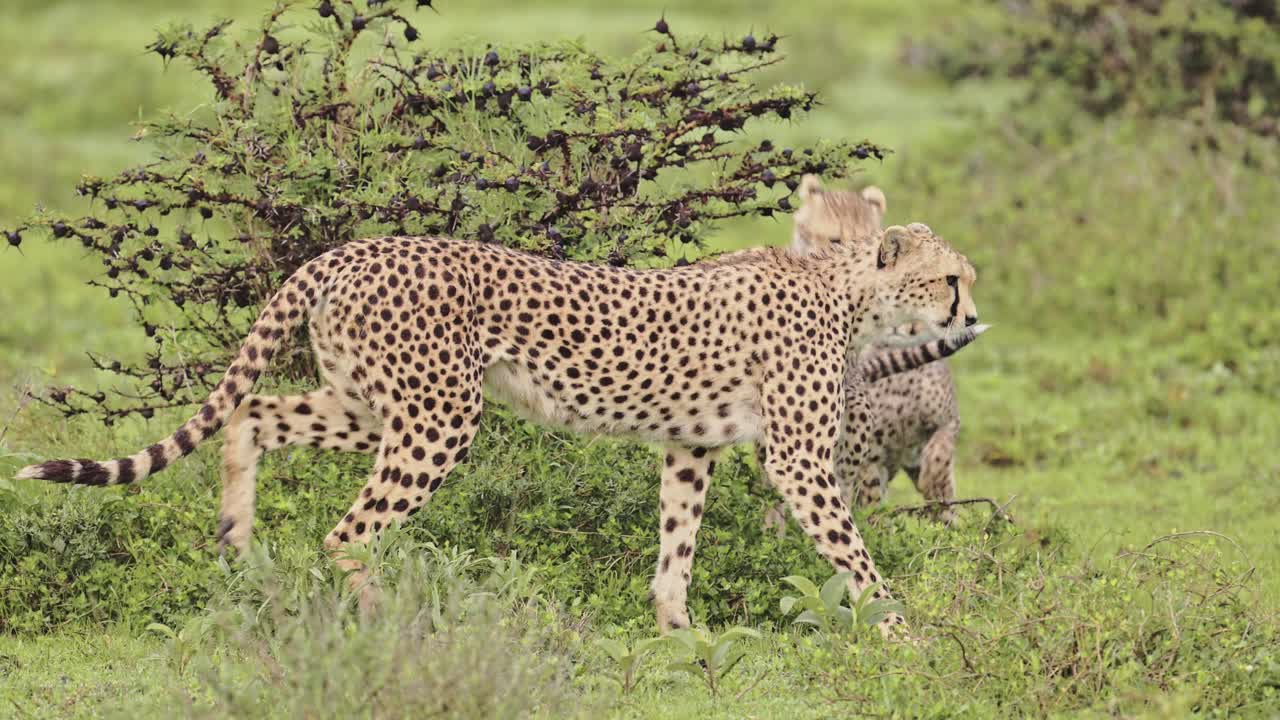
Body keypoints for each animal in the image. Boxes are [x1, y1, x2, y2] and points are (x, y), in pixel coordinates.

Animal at [18, 212, 979, 638]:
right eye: (949, 279)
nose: (971, 314)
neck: (848, 291)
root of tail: (354, 247)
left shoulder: (690, 445)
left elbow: (678, 542)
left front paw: (677, 631)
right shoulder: (800, 460)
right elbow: (855, 553)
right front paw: (900, 630)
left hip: (371, 406)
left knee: (253, 415)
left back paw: (238, 546)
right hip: (440, 418)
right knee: (344, 532)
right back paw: (385, 619)